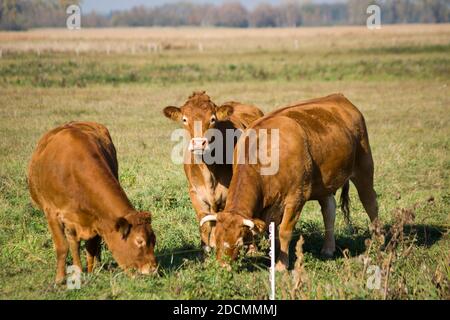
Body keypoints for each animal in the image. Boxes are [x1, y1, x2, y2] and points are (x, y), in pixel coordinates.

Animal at [28, 122, 157, 282]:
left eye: (154, 239)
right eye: (139, 241)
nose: (153, 269)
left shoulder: (97, 219)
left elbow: (92, 245)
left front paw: (92, 271)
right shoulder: (52, 212)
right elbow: (62, 246)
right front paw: (60, 279)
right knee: (73, 242)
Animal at [163, 91, 264, 251]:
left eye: (212, 119)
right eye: (184, 119)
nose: (199, 144)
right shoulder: (195, 194)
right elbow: (205, 224)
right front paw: (205, 252)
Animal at [207, 93, 380, 270]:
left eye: (239, 243)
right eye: (215, 241)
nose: (223, 267)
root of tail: (339, 97)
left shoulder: (296, 197)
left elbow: (284, 231)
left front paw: (281, 265)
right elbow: (275, 232)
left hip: (364, 169)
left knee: (370, 204)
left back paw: (377, 243)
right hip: (324, 183)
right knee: (329, 210)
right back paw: (328, 249)